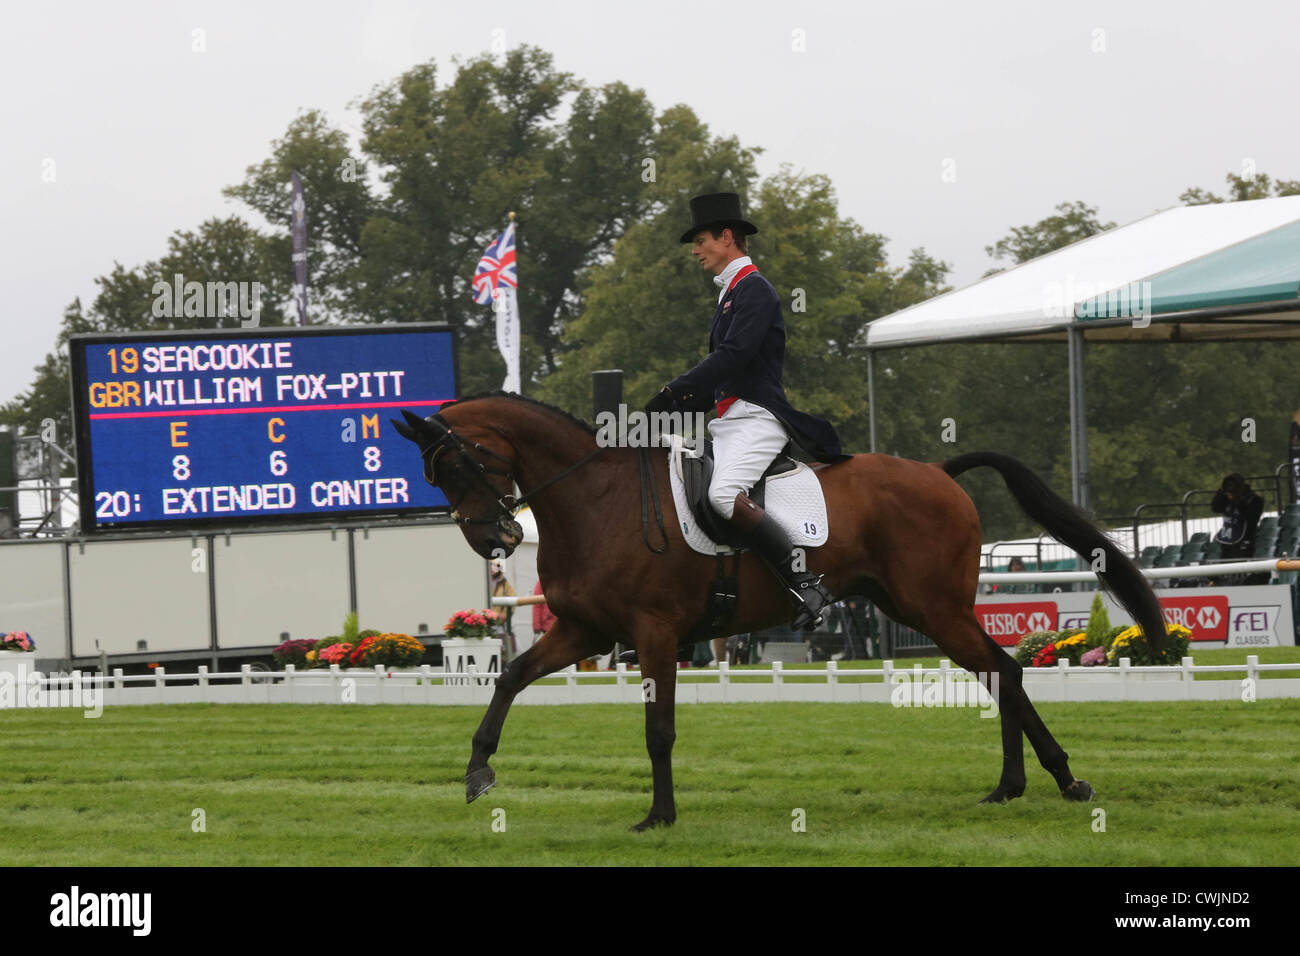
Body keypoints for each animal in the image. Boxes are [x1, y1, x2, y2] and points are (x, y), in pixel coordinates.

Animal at [390, 395, 1164, 832]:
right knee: (1000, 672)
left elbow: (659, 730)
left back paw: (1063, 781)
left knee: (1004, 669)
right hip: (919, 609)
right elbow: (509, 677)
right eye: (436, 476)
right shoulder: (587, 631)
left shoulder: (654, 634)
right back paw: (1012, 787)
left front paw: (659, 816)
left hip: (935, 608)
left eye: (454, 465)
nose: (495, 539)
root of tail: (938, 474)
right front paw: (477, 772)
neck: (594, 501)